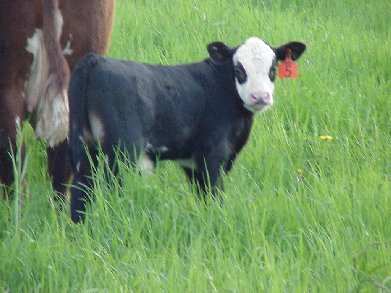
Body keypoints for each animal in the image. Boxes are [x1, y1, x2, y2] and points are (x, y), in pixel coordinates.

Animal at [69, 36, 306, 221]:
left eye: (272, 69)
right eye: (239, 69)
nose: (260, 97)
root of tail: (96, 60)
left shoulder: (192, 162)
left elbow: (203, 196)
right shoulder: (213, 155)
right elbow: (214, 195)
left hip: (84, 148)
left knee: (80, 191)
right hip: (122, 153)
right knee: (111, 188)